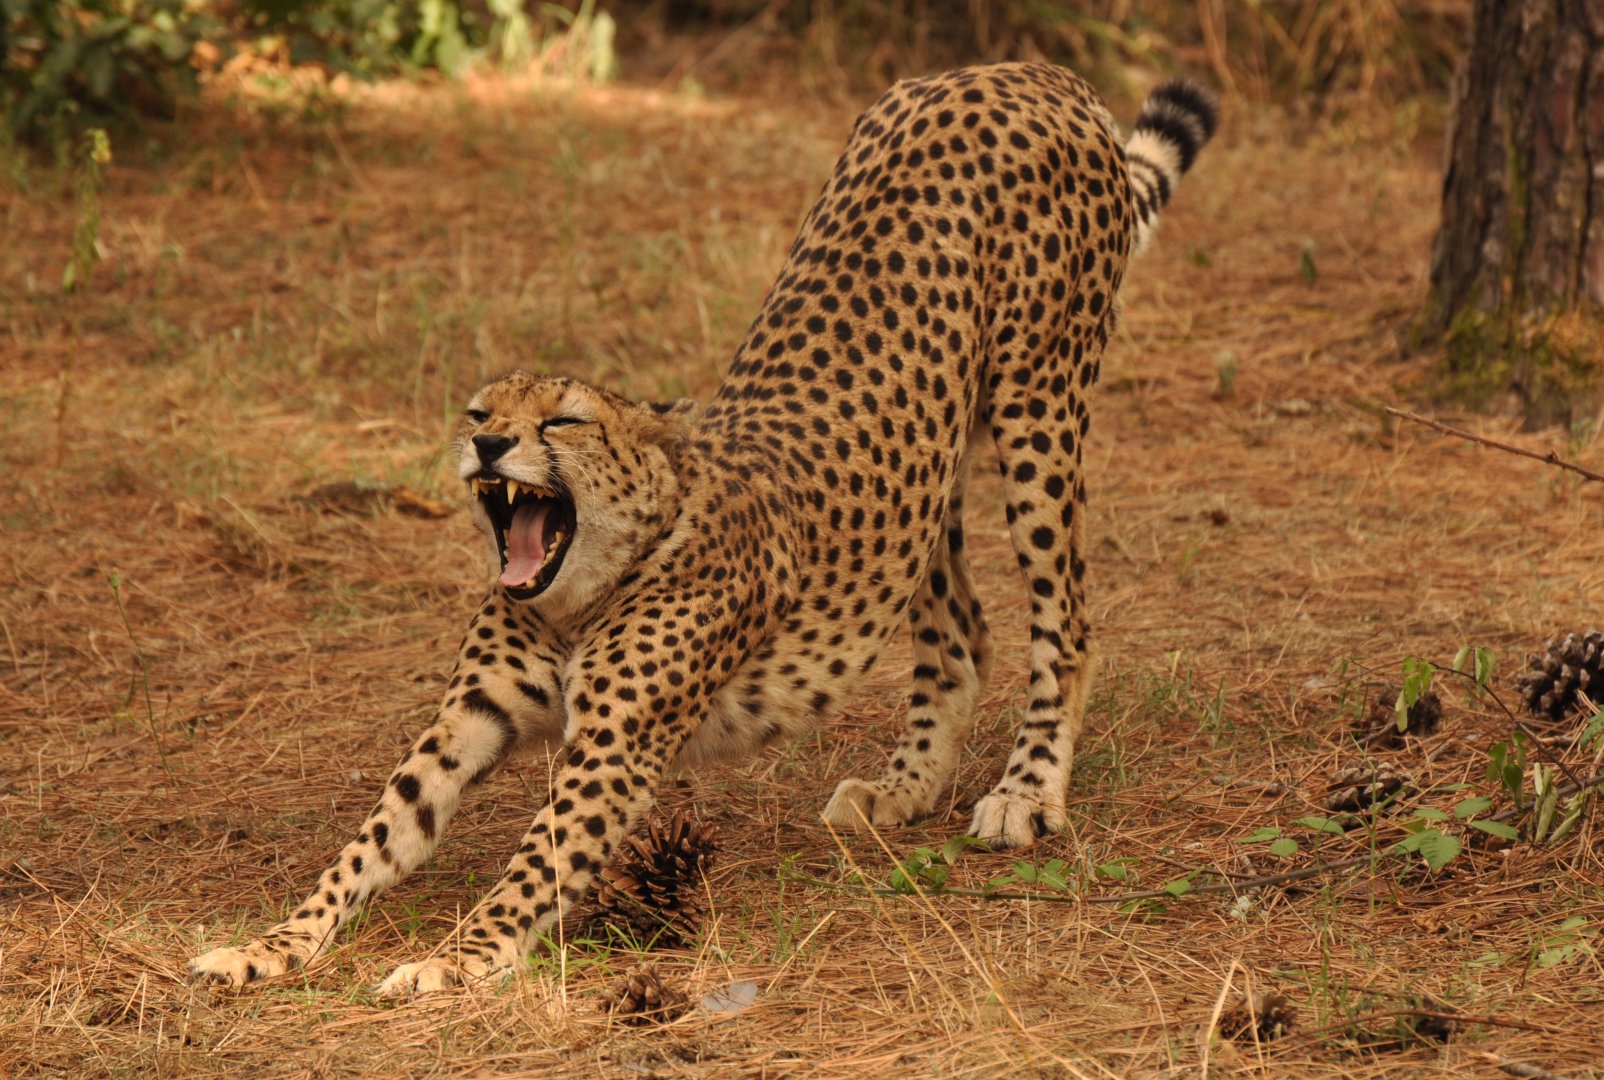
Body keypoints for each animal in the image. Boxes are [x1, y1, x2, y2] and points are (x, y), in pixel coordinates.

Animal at [188, 62, 1216, 995]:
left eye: (562, 420)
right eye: (480, 408)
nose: (486, 442)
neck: (581, 590)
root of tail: (1021, 70)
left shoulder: (611, 747)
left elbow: (533, 865)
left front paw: (455, 961)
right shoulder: (468, 717)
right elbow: (373, 838)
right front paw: (271, 945)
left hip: (1039, 404)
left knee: (1065, 620)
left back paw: (1026, 793)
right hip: (929, 469)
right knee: (961, 625)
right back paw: (905, 787)